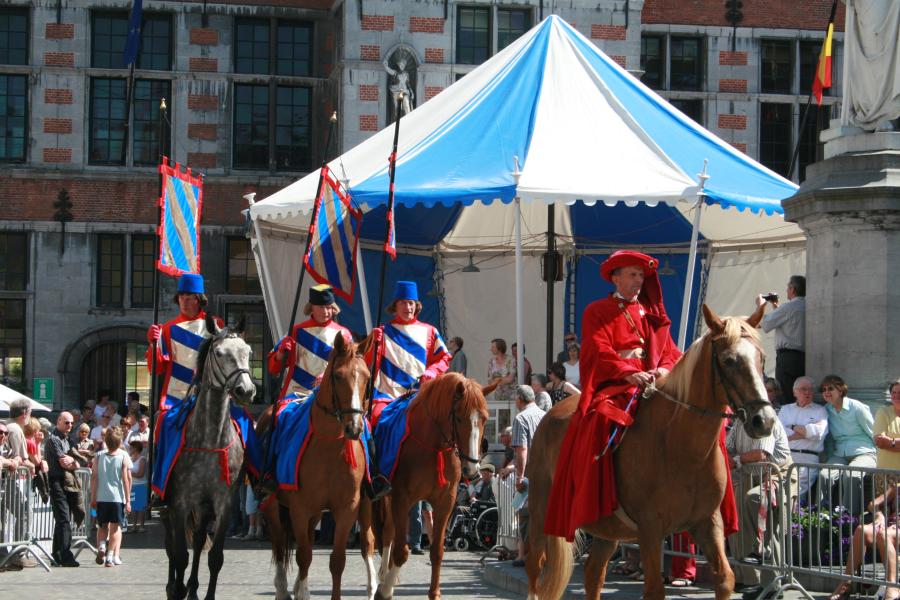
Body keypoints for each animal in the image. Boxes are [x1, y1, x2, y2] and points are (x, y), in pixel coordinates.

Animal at [160, 314, 253, 600]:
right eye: (220, 353)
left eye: (248, 352)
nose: (246, 390)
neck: (210, 439)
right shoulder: (179, 502)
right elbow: (180, 555)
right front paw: (176, 588)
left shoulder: (224, 503)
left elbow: (215, 558)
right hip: (173, 509)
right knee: (171, 545)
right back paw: (174, 586)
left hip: (203, 508)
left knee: (200, 541)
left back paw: (192, 588)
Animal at [258, 332, 378, 600]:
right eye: (338, 375)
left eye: (366, 377)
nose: (355, 428)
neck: (329, 445)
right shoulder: (299, 508)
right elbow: (303, 556)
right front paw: (302, 592)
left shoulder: (347, 507)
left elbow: (337, 560)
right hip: (272, 504)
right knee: (279, 542)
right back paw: (283, 588)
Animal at [370, 372, 488, 596]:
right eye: (459, 417)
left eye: (485, 419)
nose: (472, 470)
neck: (434, 448)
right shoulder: (402, 499)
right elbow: (402, 551)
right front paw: (385, 590)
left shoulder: (445, 503)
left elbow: (437, 551)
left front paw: (434, 593)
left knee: (389, 531)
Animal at [524, 308, 776, 600]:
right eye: (729, 360)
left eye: (762, 358)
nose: (764, 420)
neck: (683, 448)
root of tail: (549, 414)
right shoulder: (651, 529)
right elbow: (655, 588)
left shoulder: (708, 522)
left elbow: (726, 579)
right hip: (542, 513)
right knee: (535, 567)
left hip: (607, 527)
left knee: (593, 572)